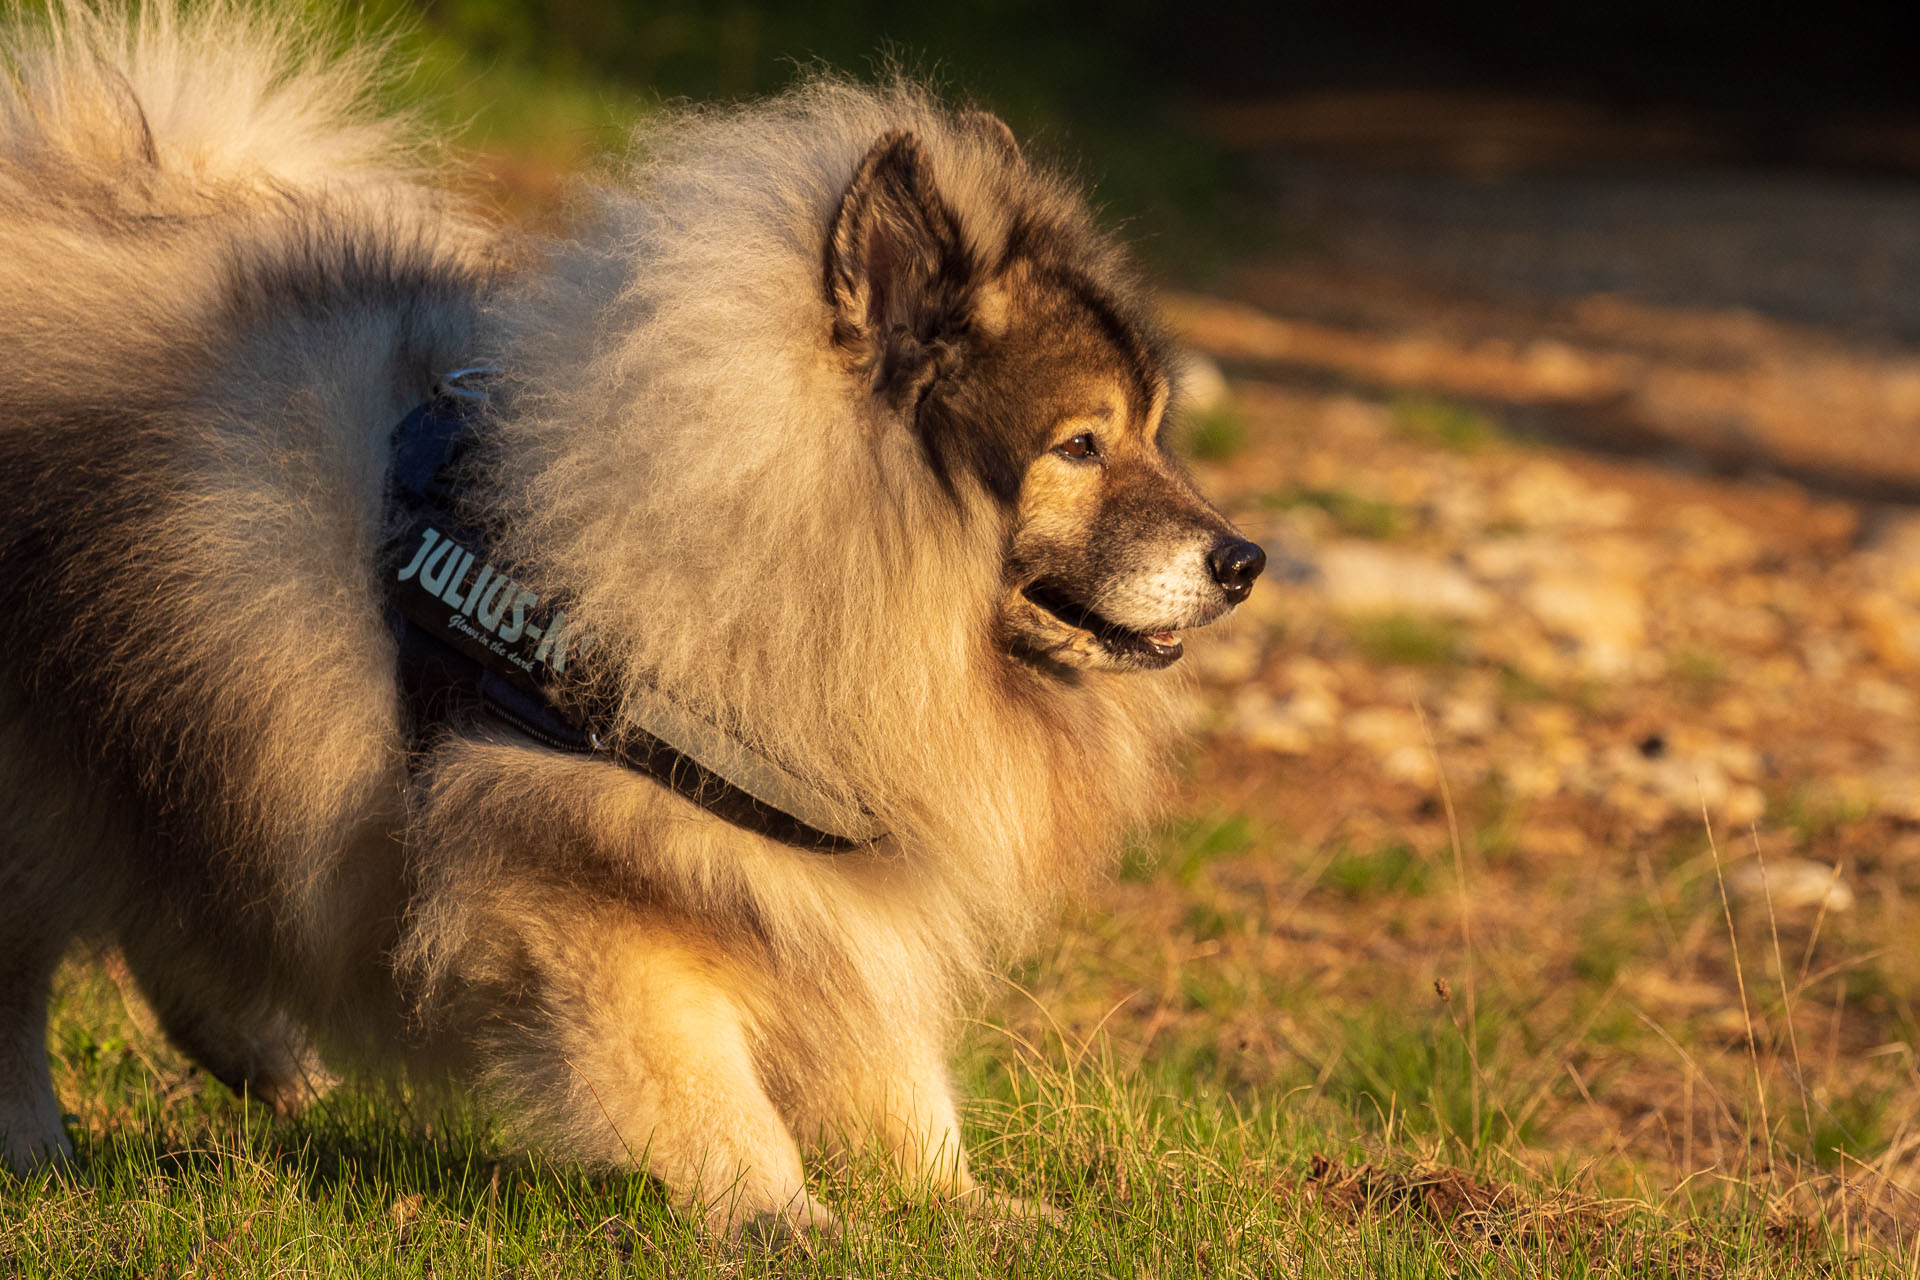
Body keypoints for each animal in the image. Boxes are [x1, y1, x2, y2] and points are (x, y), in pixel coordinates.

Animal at [0, 5, 1259, 1235]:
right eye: (1079, 446)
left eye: (1155, 429)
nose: (1242, 559)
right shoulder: (591, 897)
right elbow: (706, 1095)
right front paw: (788, 1218)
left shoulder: (821, 894)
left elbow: (895, 1081)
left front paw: (969, 1204)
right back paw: (41, 1149)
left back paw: (270, 1063)